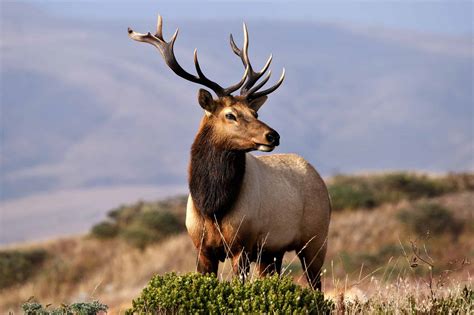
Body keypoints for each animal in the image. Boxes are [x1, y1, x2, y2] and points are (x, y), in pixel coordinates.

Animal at [128, 15, 332, 292]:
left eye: (255, 113)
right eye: (230, 115)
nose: (273, 136)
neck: (212, 206)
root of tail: (319, 179)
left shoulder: (241, 246)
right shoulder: (202, 249)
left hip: (315, 241)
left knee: (317, 287)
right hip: (272, 253)